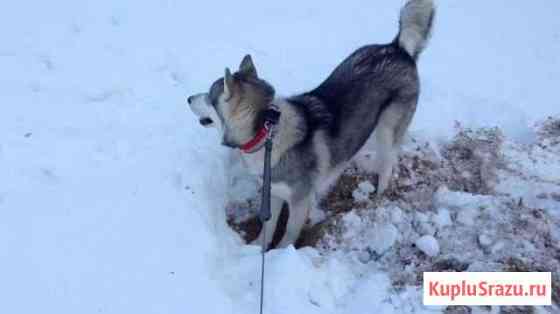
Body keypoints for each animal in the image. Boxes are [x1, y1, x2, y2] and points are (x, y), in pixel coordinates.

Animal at [186, 0, 436, 249]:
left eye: (209, 97)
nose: (188, 98)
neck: (266, 132)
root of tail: (397, 48)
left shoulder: (299, 201)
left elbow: (288, 233)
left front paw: (280, 255)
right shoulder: (273, 193)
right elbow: (268, 226)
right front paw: (257, 249)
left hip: (387, 130)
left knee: (387, 164)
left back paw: (379, 195)